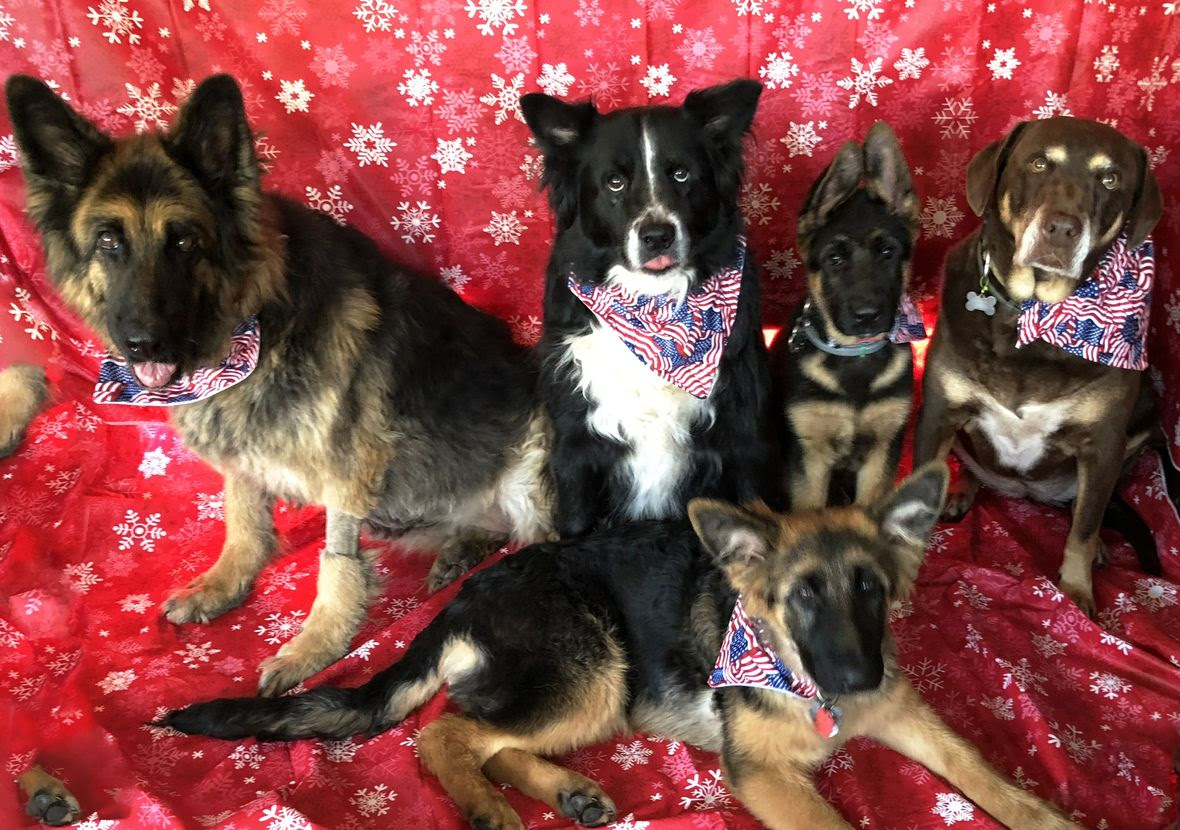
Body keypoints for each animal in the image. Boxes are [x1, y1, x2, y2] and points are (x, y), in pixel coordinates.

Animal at [5, 74, 552, 694]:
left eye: (184, 242)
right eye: (108, 241)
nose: (142, 343)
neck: (253, 329)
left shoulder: (347, 471)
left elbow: (335, 564)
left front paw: (316, 647)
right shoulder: (243, 452)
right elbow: (242, 517)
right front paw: (226, 582)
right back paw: (463, 549)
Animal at [166, 465, 1080, 830]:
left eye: (871, 591)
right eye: (801, 598)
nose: (857, 676)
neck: (805, 680)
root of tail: (470, 593)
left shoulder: (910, 713)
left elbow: (987, 773)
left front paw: (1049, 819)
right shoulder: (762, 775)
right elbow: (832, 821)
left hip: (597, 695)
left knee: (496, 738)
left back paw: (570, 793)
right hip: (594, 670)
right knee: (444, 732)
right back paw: (489, 806)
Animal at [519, 82, 778, 538]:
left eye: (681, 174)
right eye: (614, 182)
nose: (657, 236)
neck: (655, 307)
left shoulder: (742, 435)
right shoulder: (575, 445)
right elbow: (575, 524)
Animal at [769, 121, 925, 512]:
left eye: (887, 252)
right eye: (835, 259)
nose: (867, 316)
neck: (855, 355)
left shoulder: (883, 451)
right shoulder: (808, 458)